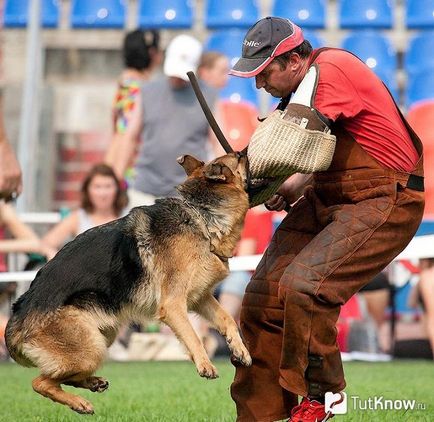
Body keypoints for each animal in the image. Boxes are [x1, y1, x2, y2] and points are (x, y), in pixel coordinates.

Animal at [5, 152, 253, 416]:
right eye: (239, 157)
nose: (247, 151)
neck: (201, 215)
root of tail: (16, 319)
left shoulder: (200, 298)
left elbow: (227, 319)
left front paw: (239, 348)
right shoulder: (173, 305)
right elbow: (193, 335)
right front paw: (205, 363)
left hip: (104, 336)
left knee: (62, 377)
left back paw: (93, 383)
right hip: (90, 349)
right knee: (41, 382)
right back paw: (80, 402)